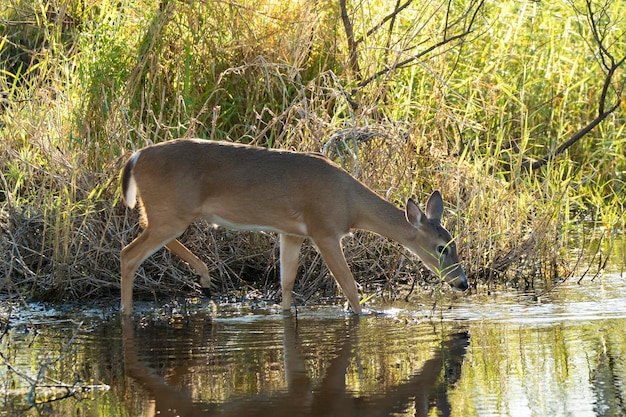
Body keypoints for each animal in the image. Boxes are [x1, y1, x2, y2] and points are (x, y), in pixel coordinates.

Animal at [119, 138, 466, 314]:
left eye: (454, 243)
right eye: (441, 248)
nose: (462, 283)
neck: (350, 202)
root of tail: (135, 157)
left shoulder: (291, 233)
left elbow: (286, 283)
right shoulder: (324, 229)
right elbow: (349, 287)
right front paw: (368, 315)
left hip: (167, 213)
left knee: (146, 236)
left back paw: (204, 279)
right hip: (170, 212)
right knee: (128, 254)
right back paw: (127, 311)